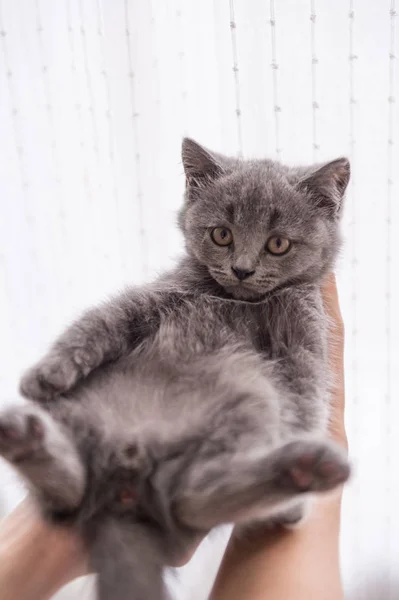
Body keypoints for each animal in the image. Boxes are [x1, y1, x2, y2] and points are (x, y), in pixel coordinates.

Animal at [0, 141, 350, 600]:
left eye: (278, 244)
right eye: (222, 234)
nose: (242, 269)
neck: (238, 301)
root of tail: (127, 475)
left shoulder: (304, 349)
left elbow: (306, 403)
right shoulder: (154, 298)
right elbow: (101, 320)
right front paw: (46, 375)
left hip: (251, 399)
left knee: (194, 494)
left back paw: (301, 474)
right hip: (83, 413)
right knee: (72, 491)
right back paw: (24, 434)